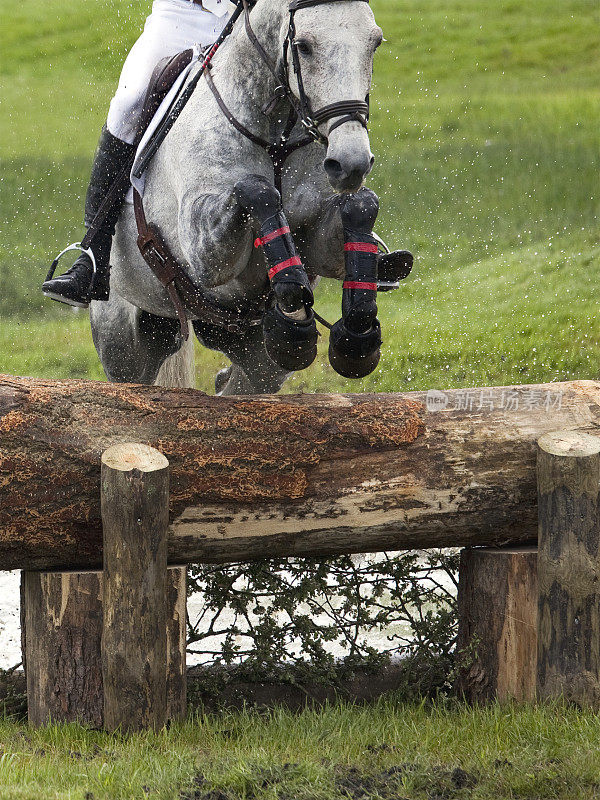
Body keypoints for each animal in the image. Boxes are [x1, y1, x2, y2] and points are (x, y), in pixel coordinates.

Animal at [90, 0, 408, 394]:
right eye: (303, 46)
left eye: (374, 43)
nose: (351, 163)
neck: (277, 134)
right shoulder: (204, 251)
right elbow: (257, 189)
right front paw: (293, 290)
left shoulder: (321, 238)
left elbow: (359, 207)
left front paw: (356, 335)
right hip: (123, 342)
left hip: (257, 358)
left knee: (243, 383)